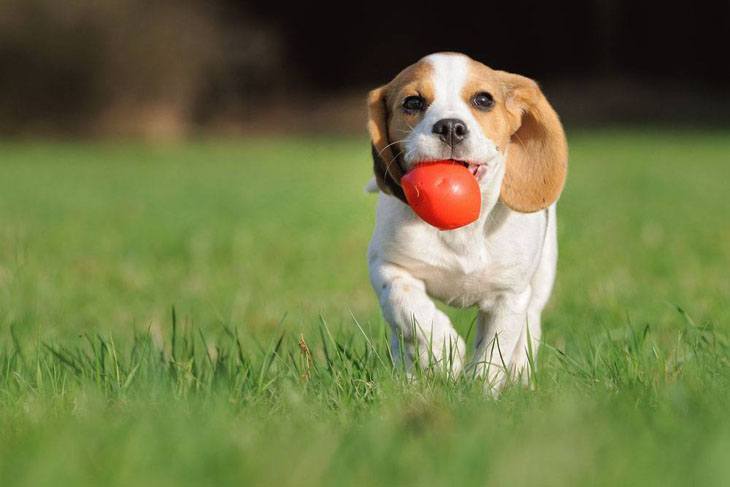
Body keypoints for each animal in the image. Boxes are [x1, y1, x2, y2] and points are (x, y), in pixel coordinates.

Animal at [366, 52, 564, 388]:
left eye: (483, 100)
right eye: (413, 102)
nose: (450, 127)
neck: (462, 231)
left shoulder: (509, 296)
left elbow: (493, 351)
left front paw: (480, 391)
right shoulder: (388, 266)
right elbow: (408, 308)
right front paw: (441, 352)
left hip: (539, 282)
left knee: (528, 330)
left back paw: (520, 377)